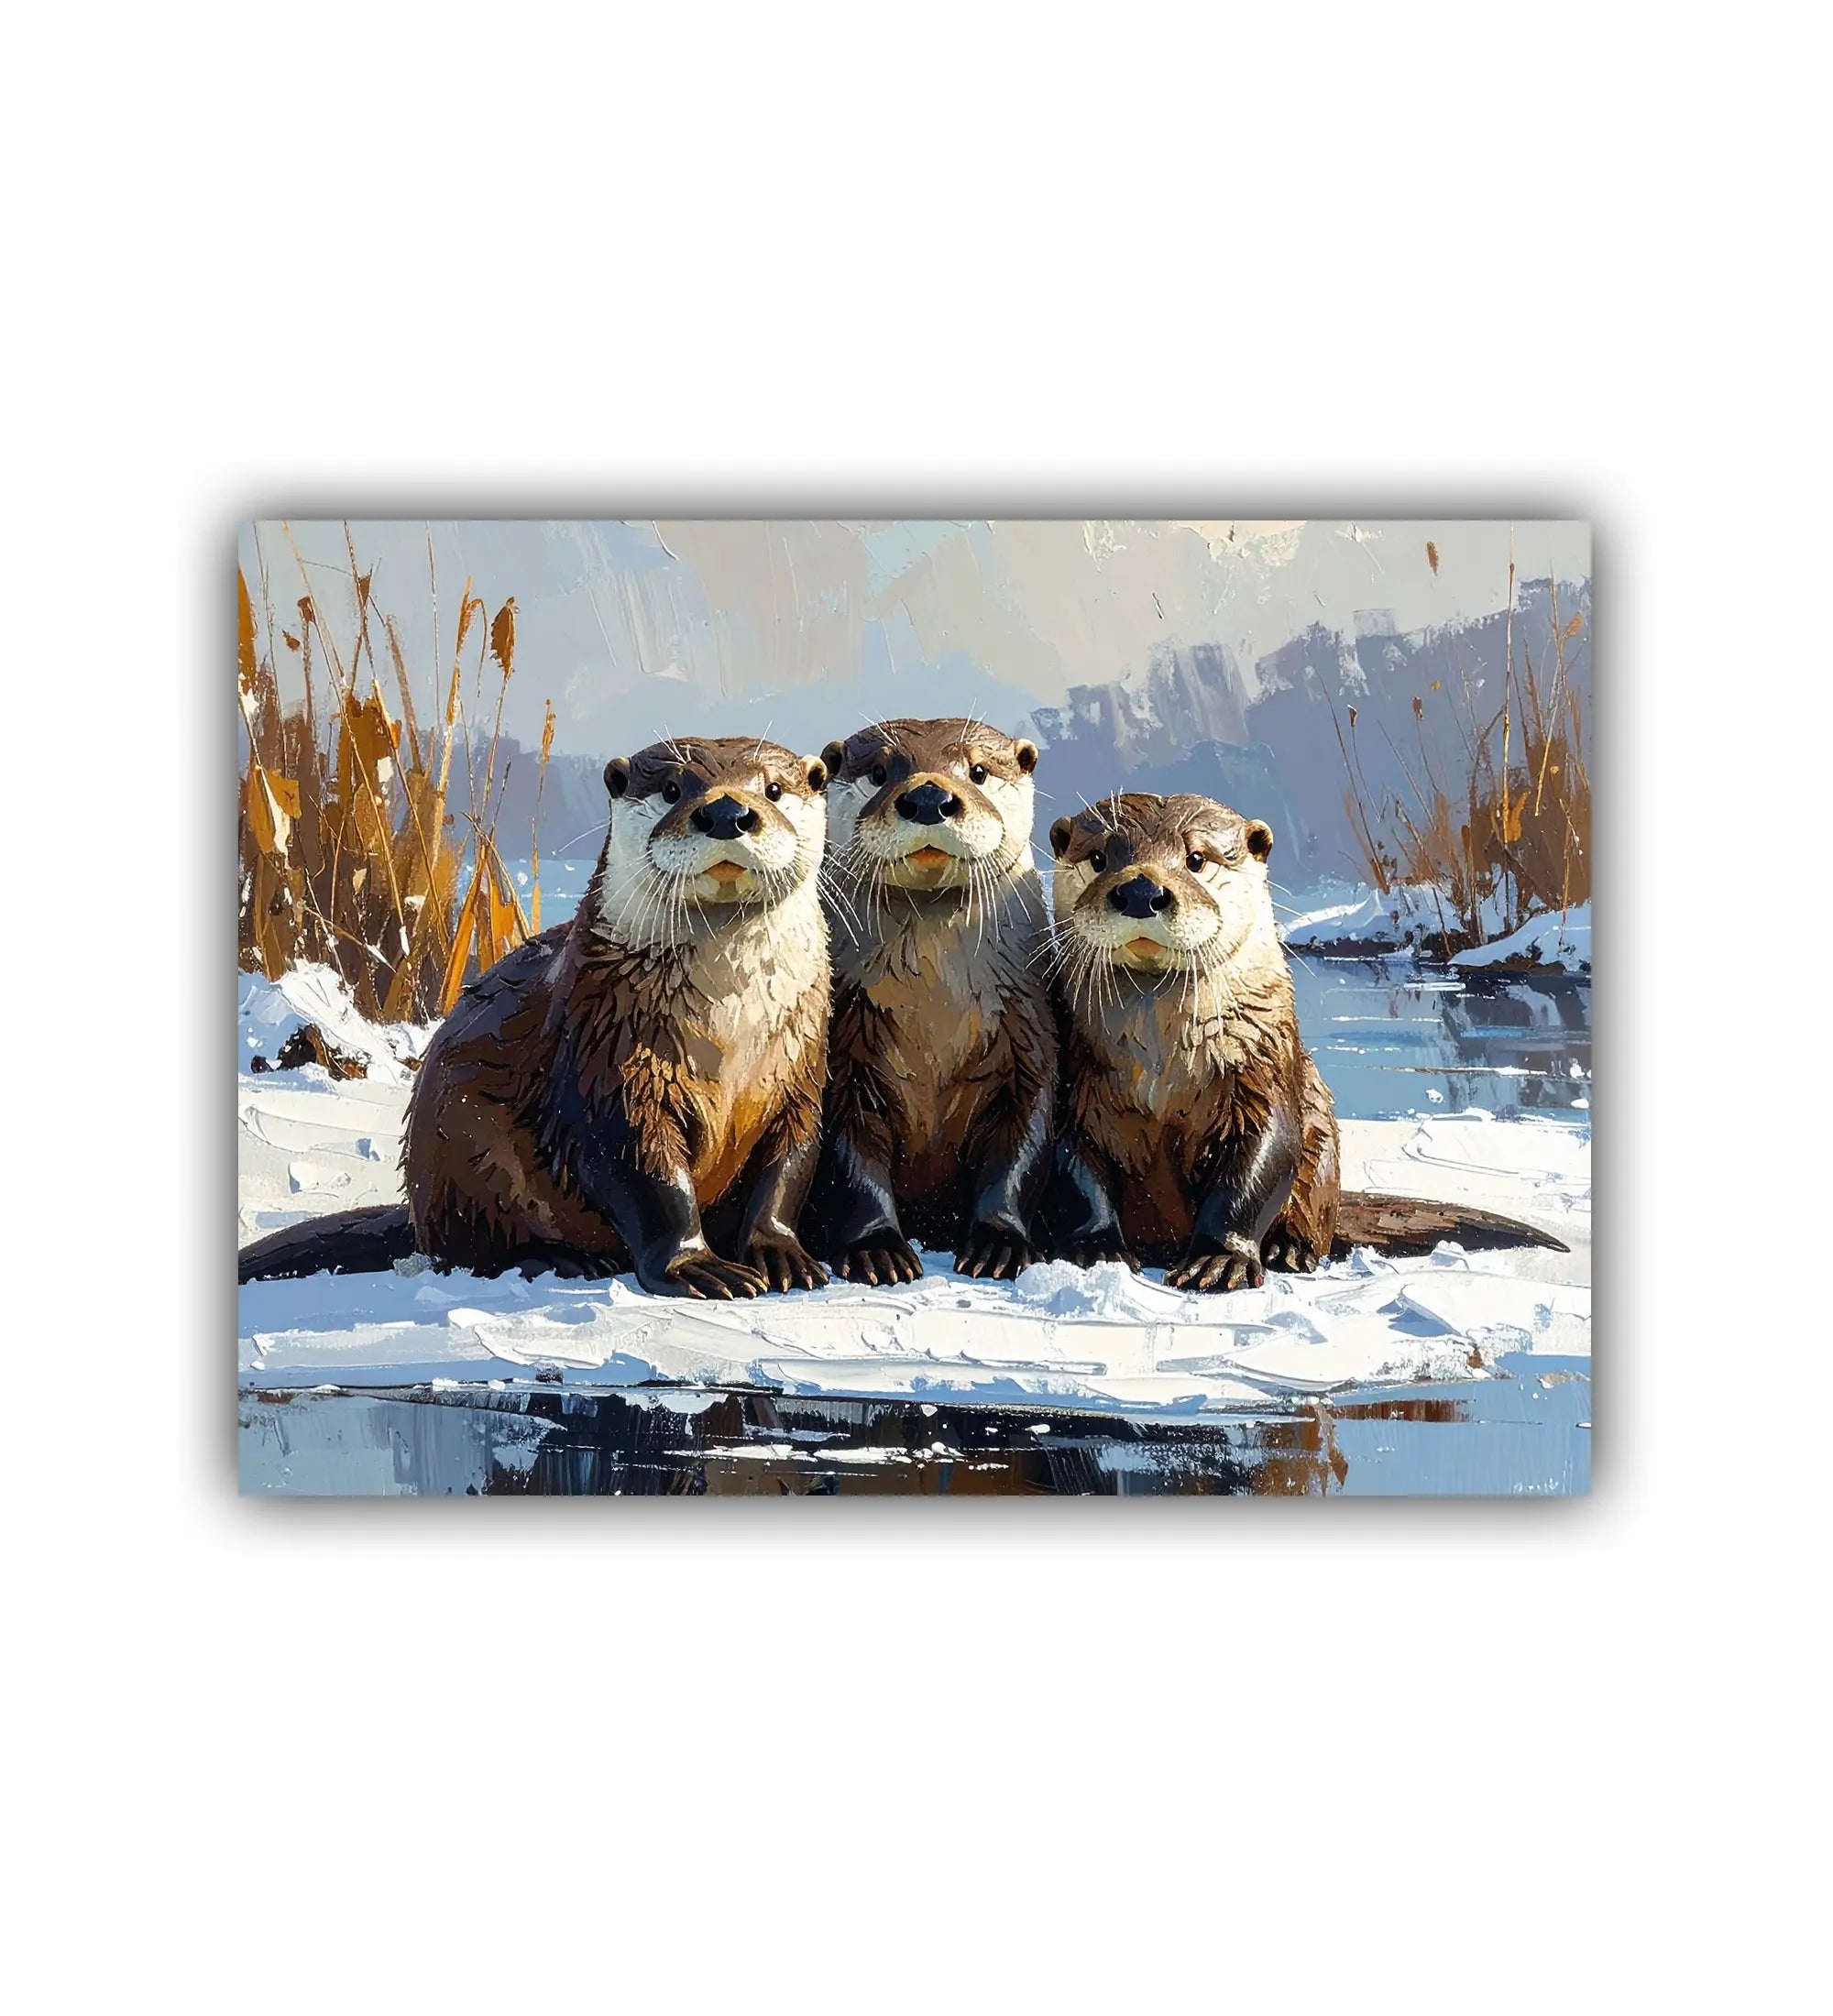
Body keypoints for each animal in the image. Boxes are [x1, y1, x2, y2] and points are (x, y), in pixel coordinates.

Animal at [238, 736, 833, 1298]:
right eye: (671, 790)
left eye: (774, 789)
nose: (728, 812)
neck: (730, 1027)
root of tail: (416, 1211)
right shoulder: (606, 1059)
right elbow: (645, 1172)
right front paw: (695, 1266)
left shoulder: (800, 1069)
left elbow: (790, 1164)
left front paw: (782, 1253)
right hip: (465, 1149)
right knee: (476, 1247)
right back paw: (565, 1259)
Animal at [810, 717, 1056, 1284]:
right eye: (879, 772)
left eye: (979, 771)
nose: (927, 796)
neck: (935, 1006)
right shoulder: (844, 1043)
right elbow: (849, 1160)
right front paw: (878, 1249)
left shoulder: (1029, 1032)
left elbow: (1021, 1147)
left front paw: (998, 1245)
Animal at [1046, 792, 1564, 1289]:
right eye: (1098, 857)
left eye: (1196, 858)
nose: (1141, 890)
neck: (1159, 1063)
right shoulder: (1075, 1079)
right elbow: (1074, 1169)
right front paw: (1096, 1249)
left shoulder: (1262, 1069)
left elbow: (1262, 1160)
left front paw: (1220, 1259)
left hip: (1322, 1143)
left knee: (1313, 1205)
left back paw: (1289, 1250)